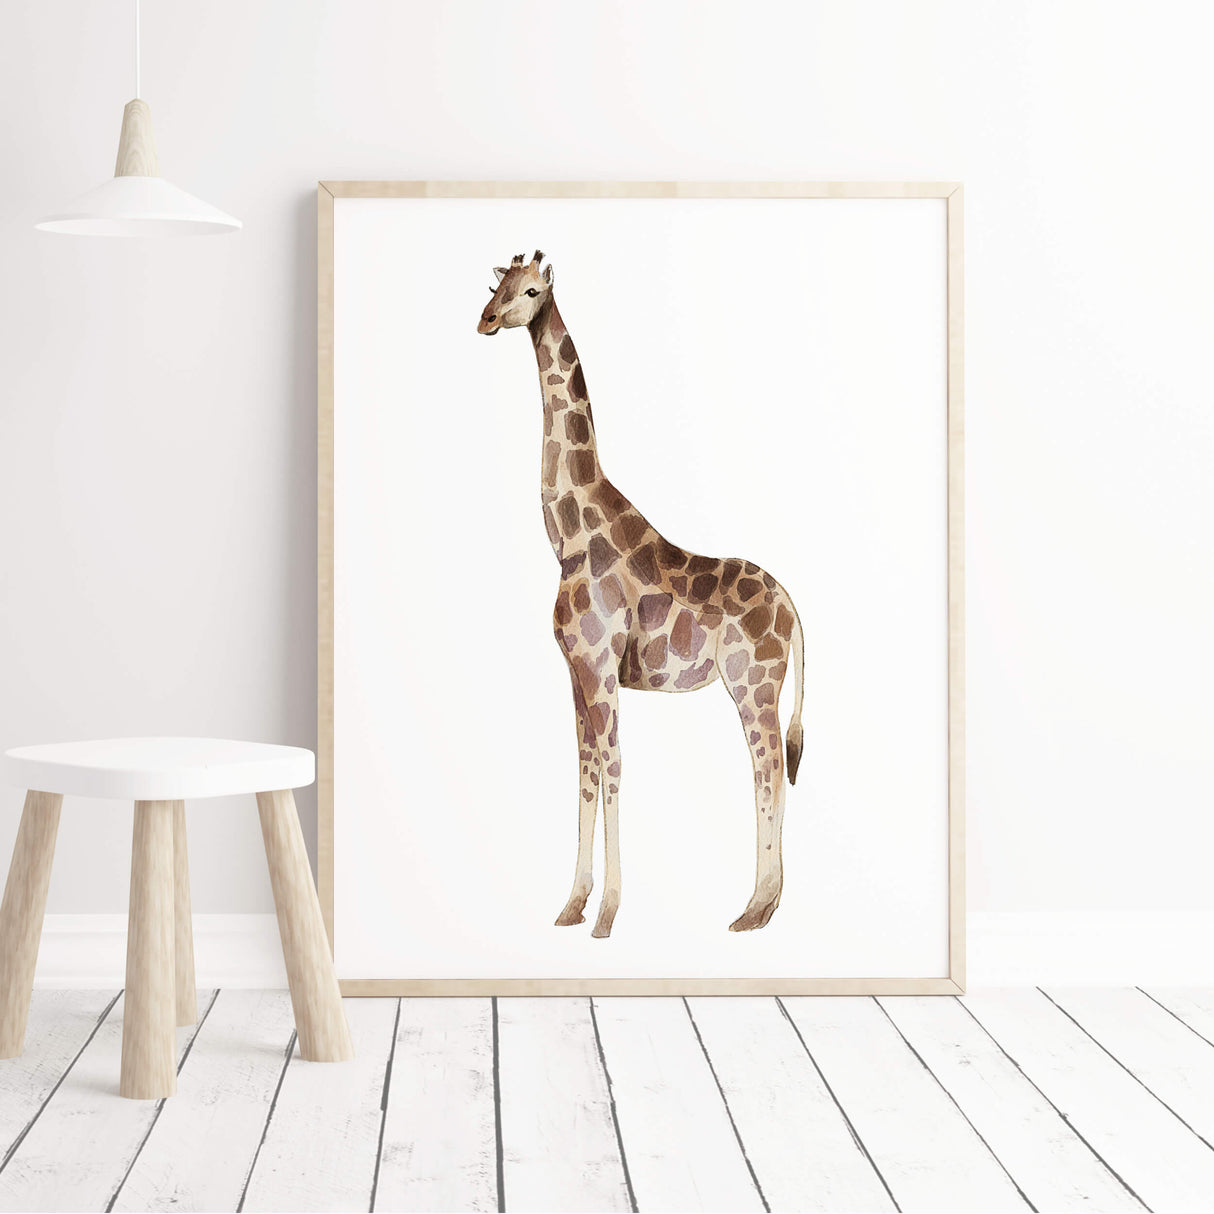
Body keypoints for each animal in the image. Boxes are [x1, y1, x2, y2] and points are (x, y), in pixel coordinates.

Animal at [478, 251, 805, 937]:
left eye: (532, 290)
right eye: (494, 285)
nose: (486, 320)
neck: (566, 535)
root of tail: (793, 609)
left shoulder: (601, 665)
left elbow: (613, 769)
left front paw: (606, 915)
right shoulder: (576, 669)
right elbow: (584, 772)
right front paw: (571, 906)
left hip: (754, 684)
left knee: (766, 772)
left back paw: (754, 909)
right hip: (760, 687)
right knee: (767, 773)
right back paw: (763, 907)